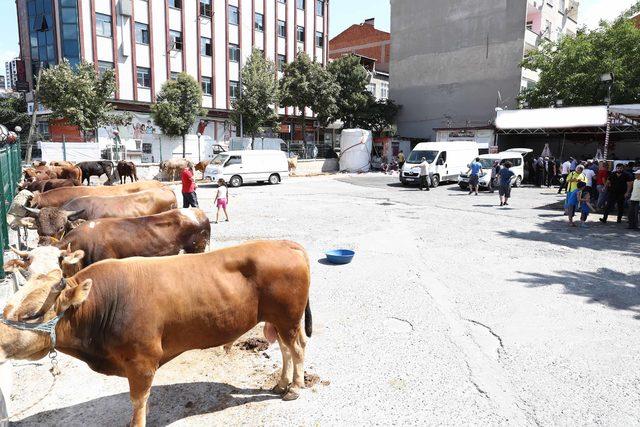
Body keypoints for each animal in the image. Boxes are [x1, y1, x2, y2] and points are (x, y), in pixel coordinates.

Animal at [0, 242, 312, 426]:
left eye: (31, 315)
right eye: (9, 303)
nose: (0, 339)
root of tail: (285, 243)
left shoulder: (142, 362)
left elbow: (138, 402)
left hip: (288, 318)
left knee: (296, 348)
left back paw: (295, 387)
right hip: (277, 319)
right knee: (285, 348)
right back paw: (281, 384)